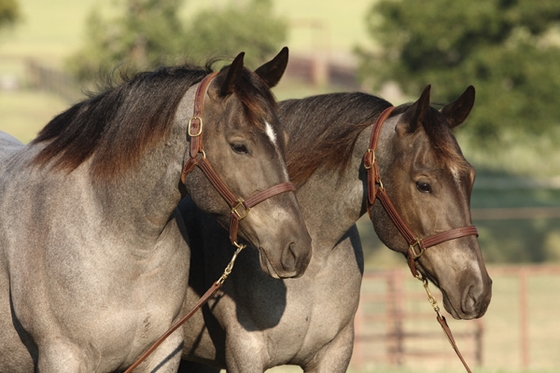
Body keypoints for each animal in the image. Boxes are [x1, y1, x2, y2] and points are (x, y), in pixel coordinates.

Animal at [177, 85, 492, 370]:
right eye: (423, 184)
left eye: (471, 177)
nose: (479, 291)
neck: (313, 266)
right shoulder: (245, 353)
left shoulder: (335, 353)